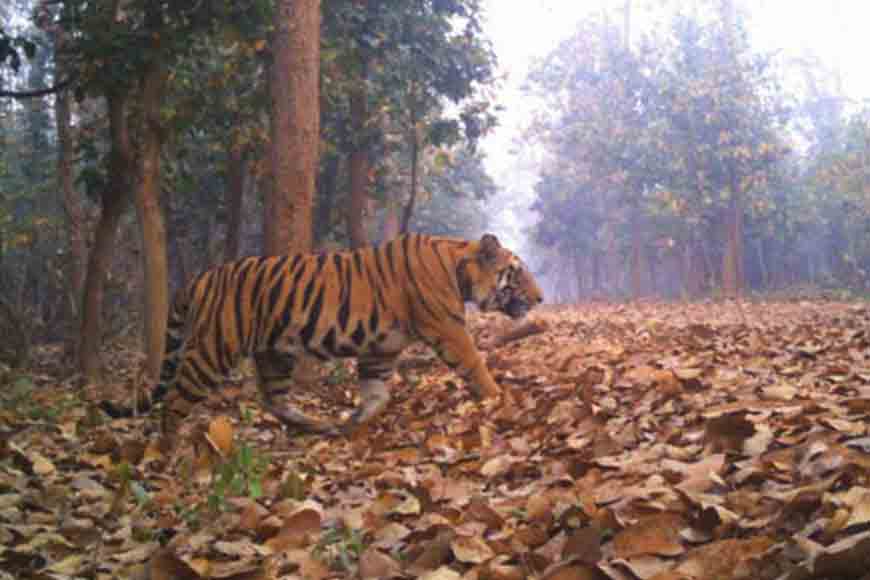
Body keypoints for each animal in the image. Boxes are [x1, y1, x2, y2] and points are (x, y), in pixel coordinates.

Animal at [100, 233, 543, 436]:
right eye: (517, 272)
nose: (541, 298)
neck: (457, 263)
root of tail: (201, 277)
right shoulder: (448, 329)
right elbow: (476, 364)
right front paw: (498, 398)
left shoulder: (380, 350)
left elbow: (376, 394)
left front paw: (357, 421)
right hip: (213, 349)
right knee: (174, 403)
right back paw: (169, 455)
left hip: (274, 353)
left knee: (274, 400)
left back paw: (316, 425)